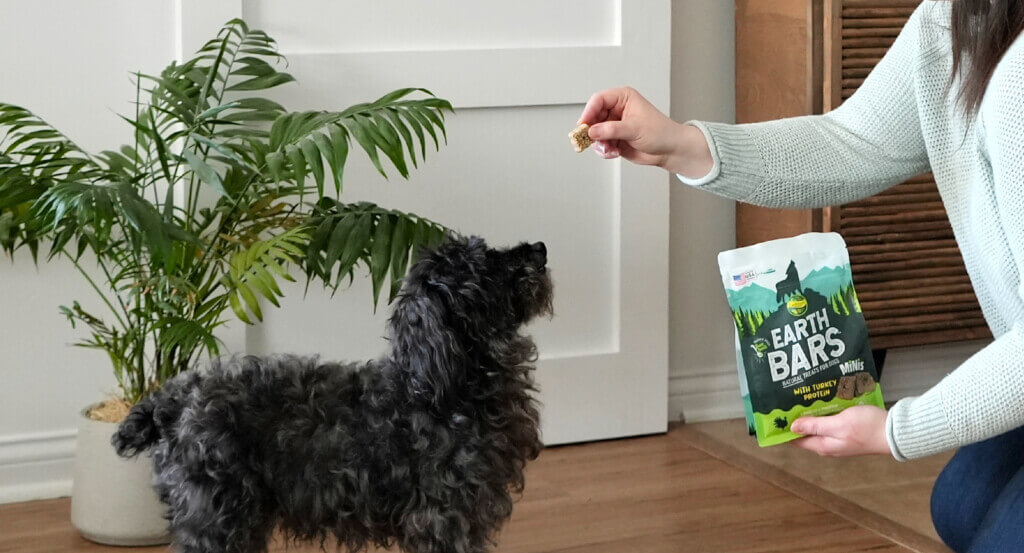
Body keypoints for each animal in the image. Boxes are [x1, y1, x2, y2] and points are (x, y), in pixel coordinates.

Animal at [112, 237, 552, 553]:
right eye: (484, 265)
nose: (540, 249)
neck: (444, 388)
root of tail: (172, 397)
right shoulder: (445, 519)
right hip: (215, 520)